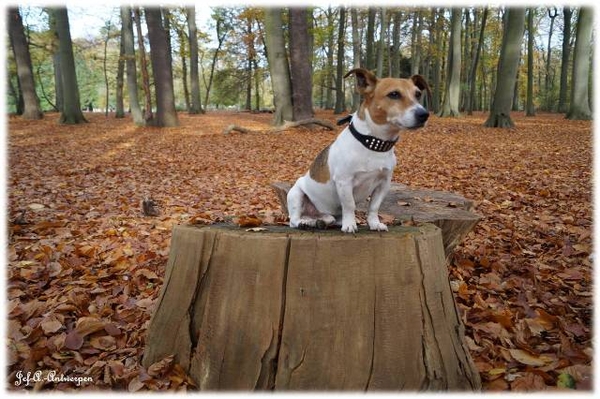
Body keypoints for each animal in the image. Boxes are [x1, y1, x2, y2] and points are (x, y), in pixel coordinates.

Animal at [288, 67, 432, 233]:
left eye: (418, 94)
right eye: (394, 94)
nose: (424, 114)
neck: (373, 143)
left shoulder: (384, 183)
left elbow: (374, 207)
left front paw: (374, 223)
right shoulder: (344, 181)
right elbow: (349, 205)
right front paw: (350, 225)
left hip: (325, 213)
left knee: (330, 218)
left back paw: (322, 221)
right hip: (296, 194)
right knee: (293, 220)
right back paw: (306, 222)